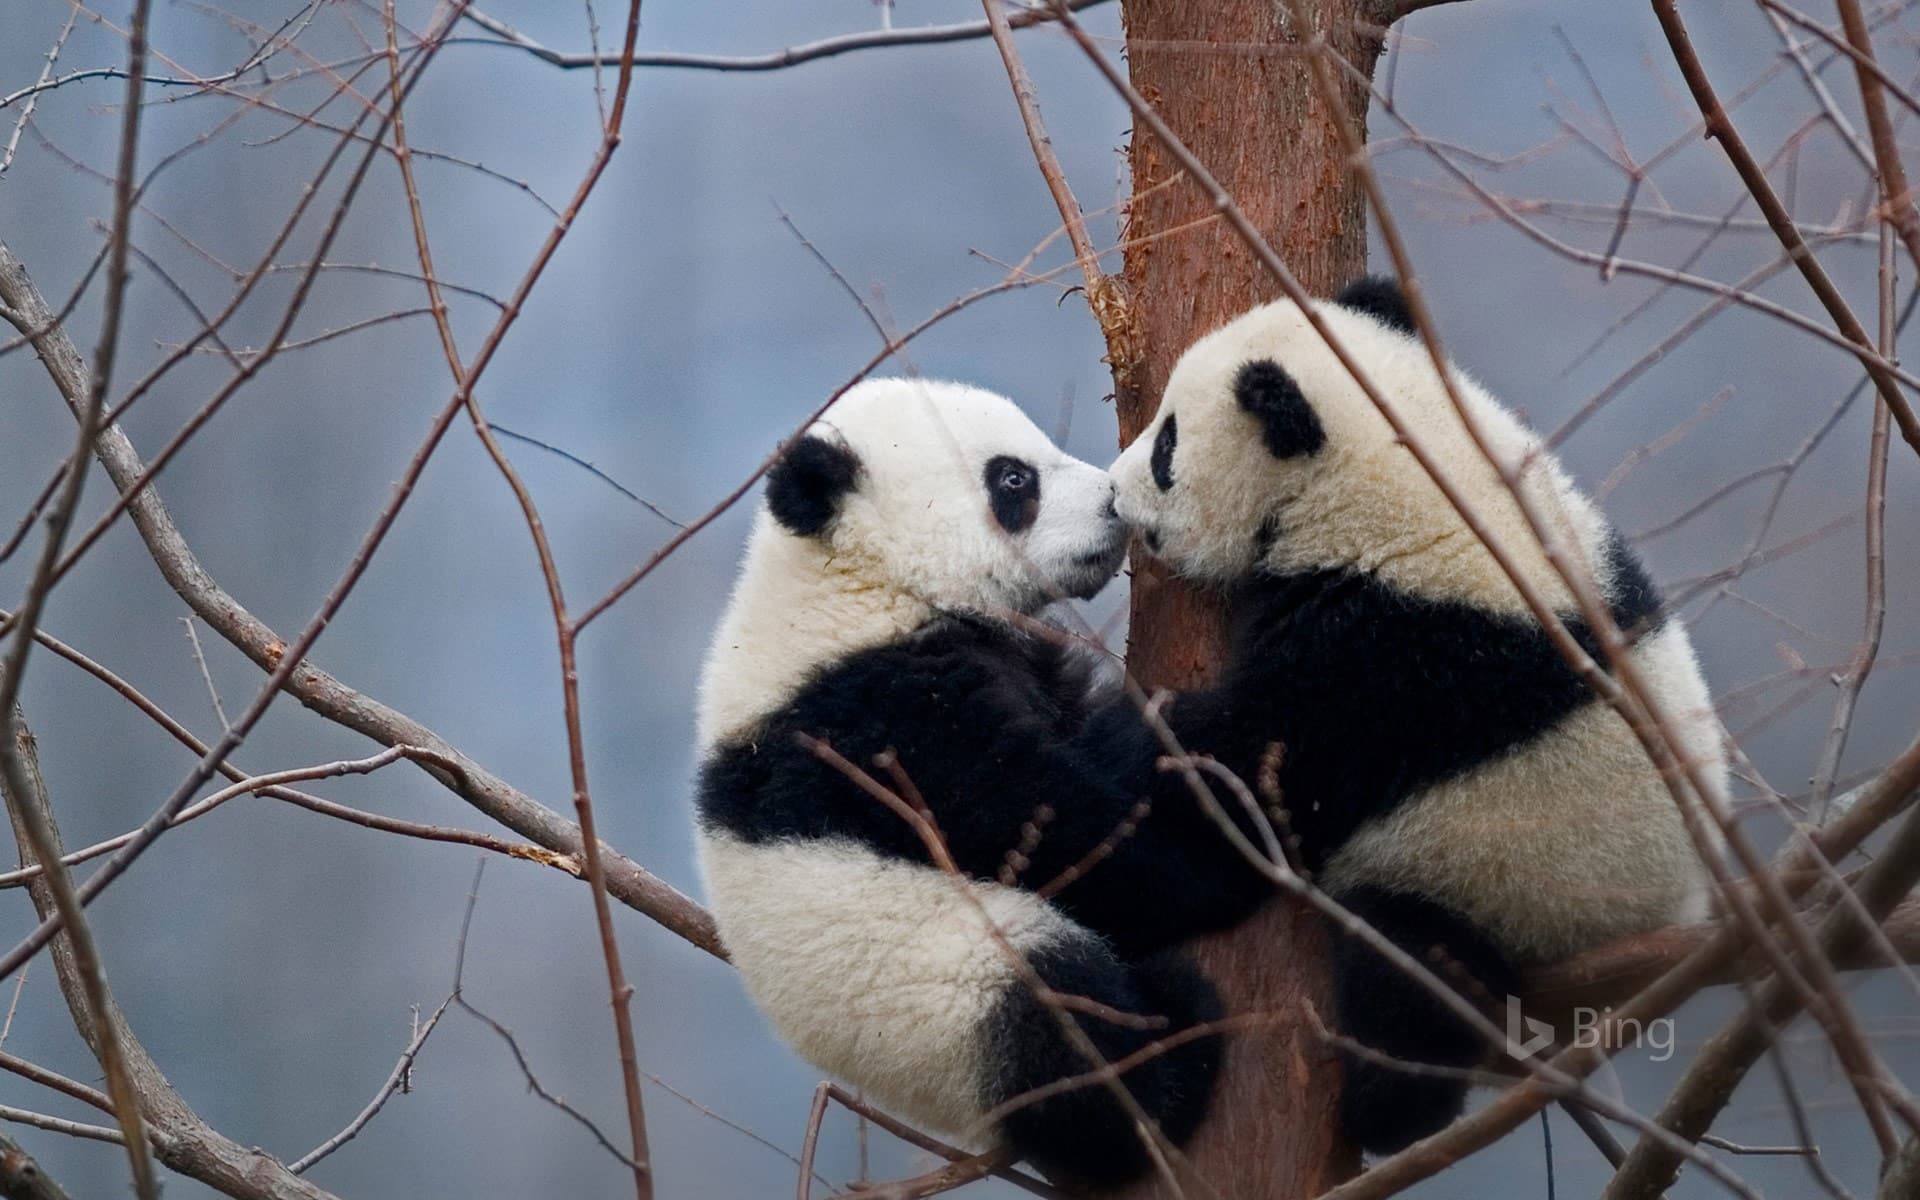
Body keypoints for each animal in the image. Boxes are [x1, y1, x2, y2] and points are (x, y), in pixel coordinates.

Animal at [694, 378, 1268, 1183]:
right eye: (1013, 480)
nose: (1113, 503)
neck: (857, 584)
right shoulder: (876, 721)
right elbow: (1045, 826)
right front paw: (1227, 856)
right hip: (953, 994)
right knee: (1059, 1028)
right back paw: (1170, 1054)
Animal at [1106, 278, 1726, 1155]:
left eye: (1166, 447)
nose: (1110, 490)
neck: (1400, 464)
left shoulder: (1400, 653)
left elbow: (1253, 762)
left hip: (1506, 891)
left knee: (1414, 972)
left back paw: (1387, 1107)